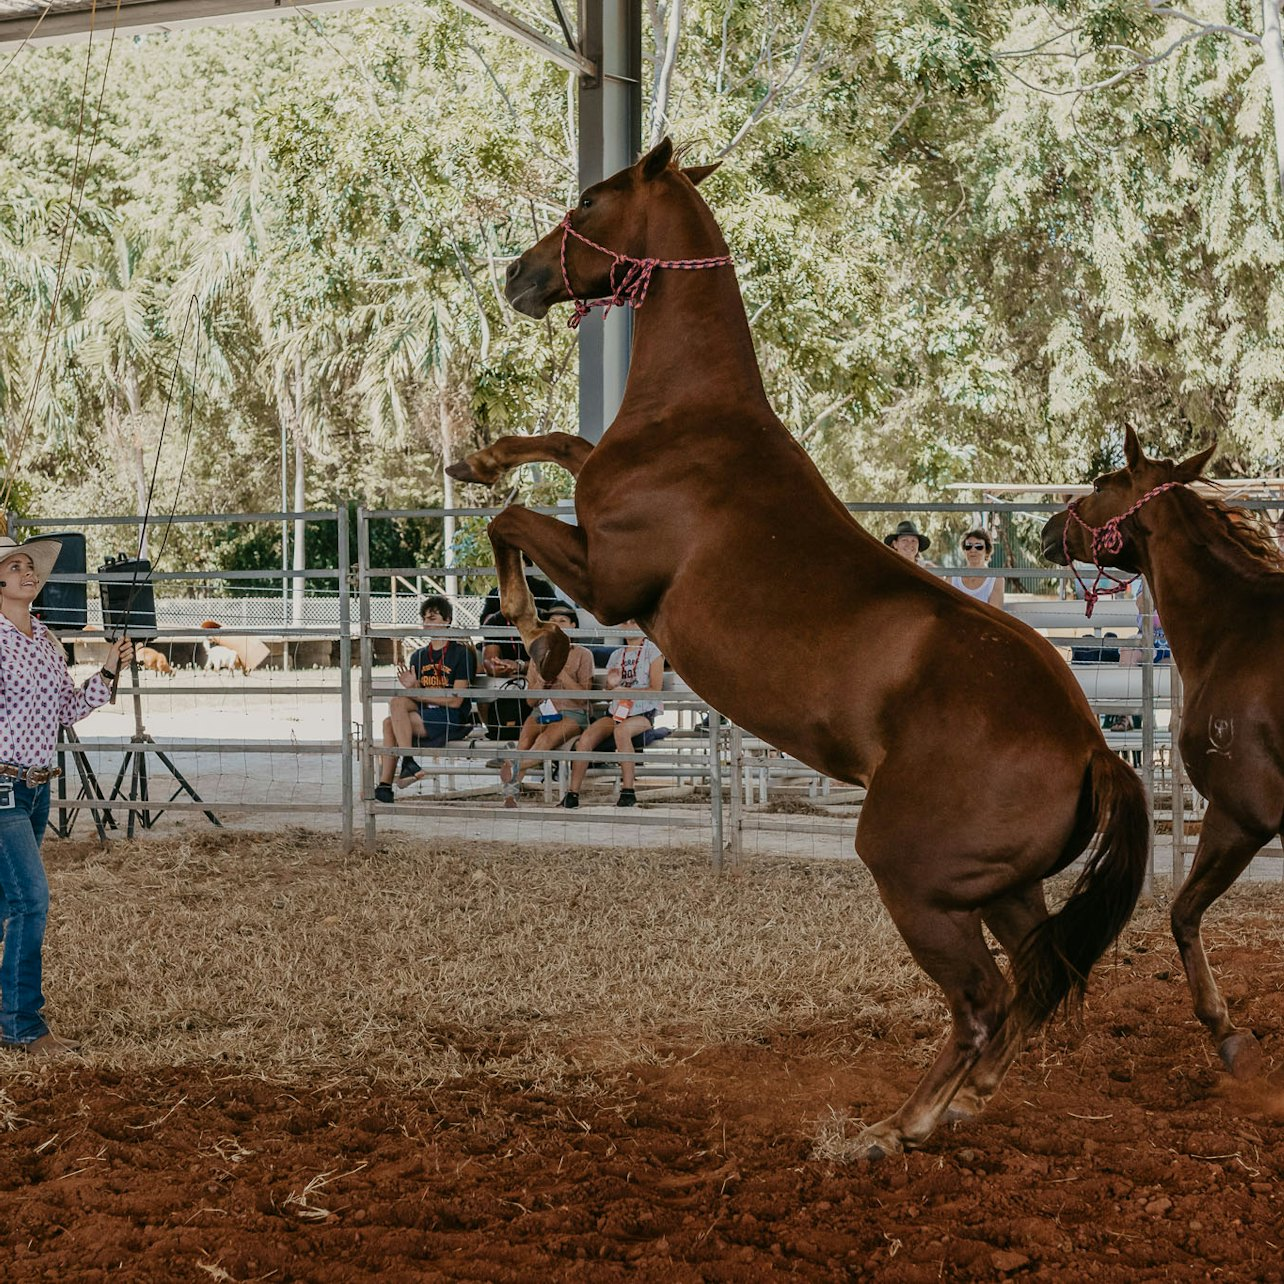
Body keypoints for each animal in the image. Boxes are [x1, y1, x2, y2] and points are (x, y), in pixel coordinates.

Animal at [446, 138, 1150, 1155]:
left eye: (590, 201)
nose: (517, 276)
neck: (697, 424)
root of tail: (1093, 743)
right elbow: (558, 445)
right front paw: (479, 458)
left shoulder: (611, 582)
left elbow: (514, 523)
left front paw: (535, 636)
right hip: (997, 890)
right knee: (1033, 978)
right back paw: (963, 1103)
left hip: (917, 884)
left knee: (983, 1000)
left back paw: (898, 1125)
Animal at [1042, 426, 1284, 1078]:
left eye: (1101, 483)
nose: (1049, 527)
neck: (1235, 630)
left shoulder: (1241, 815)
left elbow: (1183, 912)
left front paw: (1224, 1026)